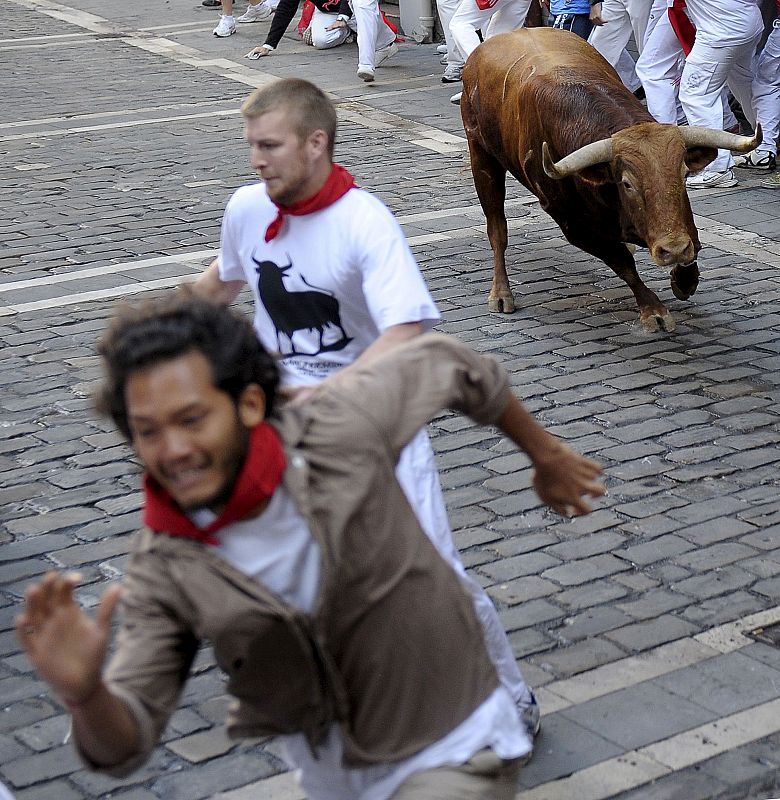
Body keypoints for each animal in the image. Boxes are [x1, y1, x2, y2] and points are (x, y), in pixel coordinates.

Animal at [460, 26, 760, 330]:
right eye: (627, 183)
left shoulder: (680, 221)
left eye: (683, 173)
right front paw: (653, 309)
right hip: (482, 157)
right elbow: (622, 262)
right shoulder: (572, 223)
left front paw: (683, 280)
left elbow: (694, 244)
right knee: (497, 229)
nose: (673, 250)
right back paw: (501, 293)